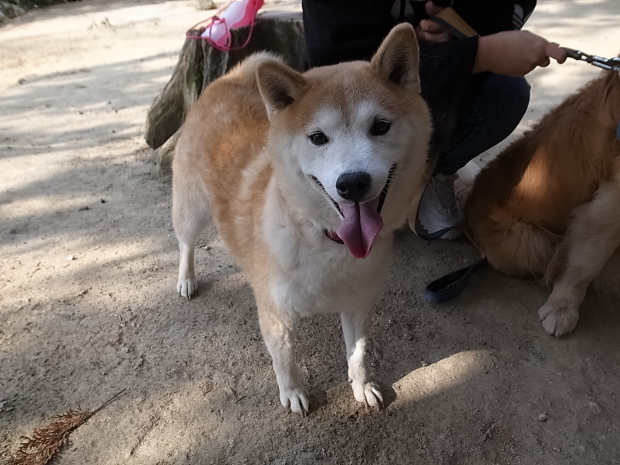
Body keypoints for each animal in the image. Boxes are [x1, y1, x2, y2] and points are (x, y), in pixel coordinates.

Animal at [171, 23, 432, 414]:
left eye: (380, 126)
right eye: (318, 137)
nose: (352, 183)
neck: (328, 243)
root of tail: (225, 81)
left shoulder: (358, 304)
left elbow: (357, 354)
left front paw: (362, 386)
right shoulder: (275, 313)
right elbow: (284, 360)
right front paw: (293, 392)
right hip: (191, 208)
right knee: (186, 243)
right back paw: (186, 279)